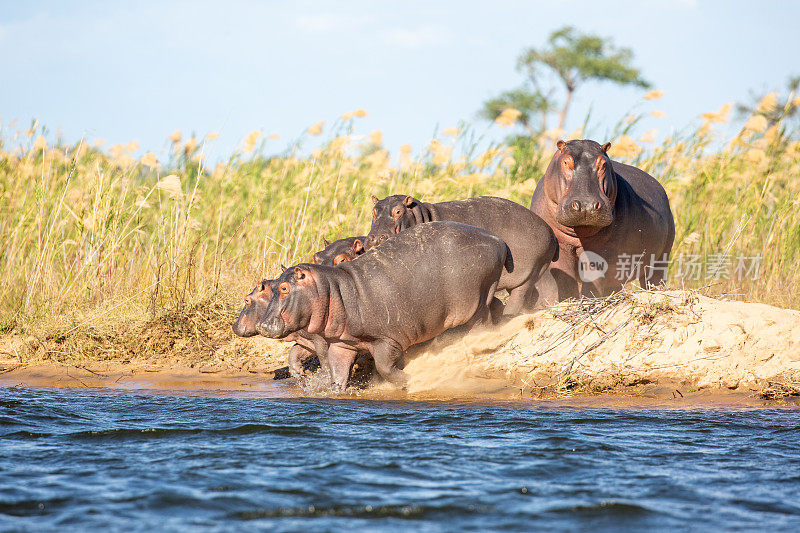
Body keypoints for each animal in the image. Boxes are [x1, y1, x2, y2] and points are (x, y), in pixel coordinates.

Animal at [256, 220, 506, 390]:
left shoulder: (388, 339)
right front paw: (335, 390)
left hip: (475, 302)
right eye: (273, 286)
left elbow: (384, 367)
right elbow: (338, 372)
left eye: (284, 288)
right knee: (496, 306)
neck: (334, 290)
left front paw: (409, 380)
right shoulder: (342, 344)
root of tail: (498, 240)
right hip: (487, 291)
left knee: (483, 323)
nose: (261, 325)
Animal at [364, 194, 556, 312]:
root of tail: (549, 230)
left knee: (519, 296)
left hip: (529, 272)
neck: (420, 214)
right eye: (373, 211)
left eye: (398, 211)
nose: (375, 238)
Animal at [532, 139, 676, 298]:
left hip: (661, 258)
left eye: (603, 164)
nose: (586, 205)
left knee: (653, 278)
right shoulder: (561, 249)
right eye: (565, 161)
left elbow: (593, 281)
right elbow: (564, 281)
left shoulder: (602, 251)